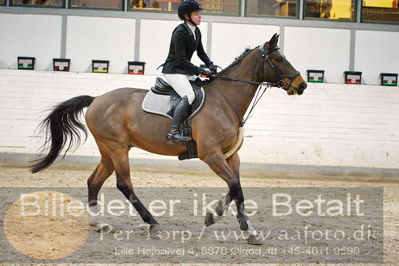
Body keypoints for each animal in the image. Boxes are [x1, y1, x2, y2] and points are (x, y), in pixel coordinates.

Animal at [30, 33, 306, 245]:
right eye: (279, 59)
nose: (302, 85)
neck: (224, 100)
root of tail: (97, 99)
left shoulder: (230, 155)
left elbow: (235, 187)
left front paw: (216, 216)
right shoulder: (211, 154)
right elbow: (236, 187)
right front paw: (248, 231)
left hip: (109, 151)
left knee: (94, 181)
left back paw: (98, 224)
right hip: (117, 149)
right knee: (124, 184)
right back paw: (152, 222)